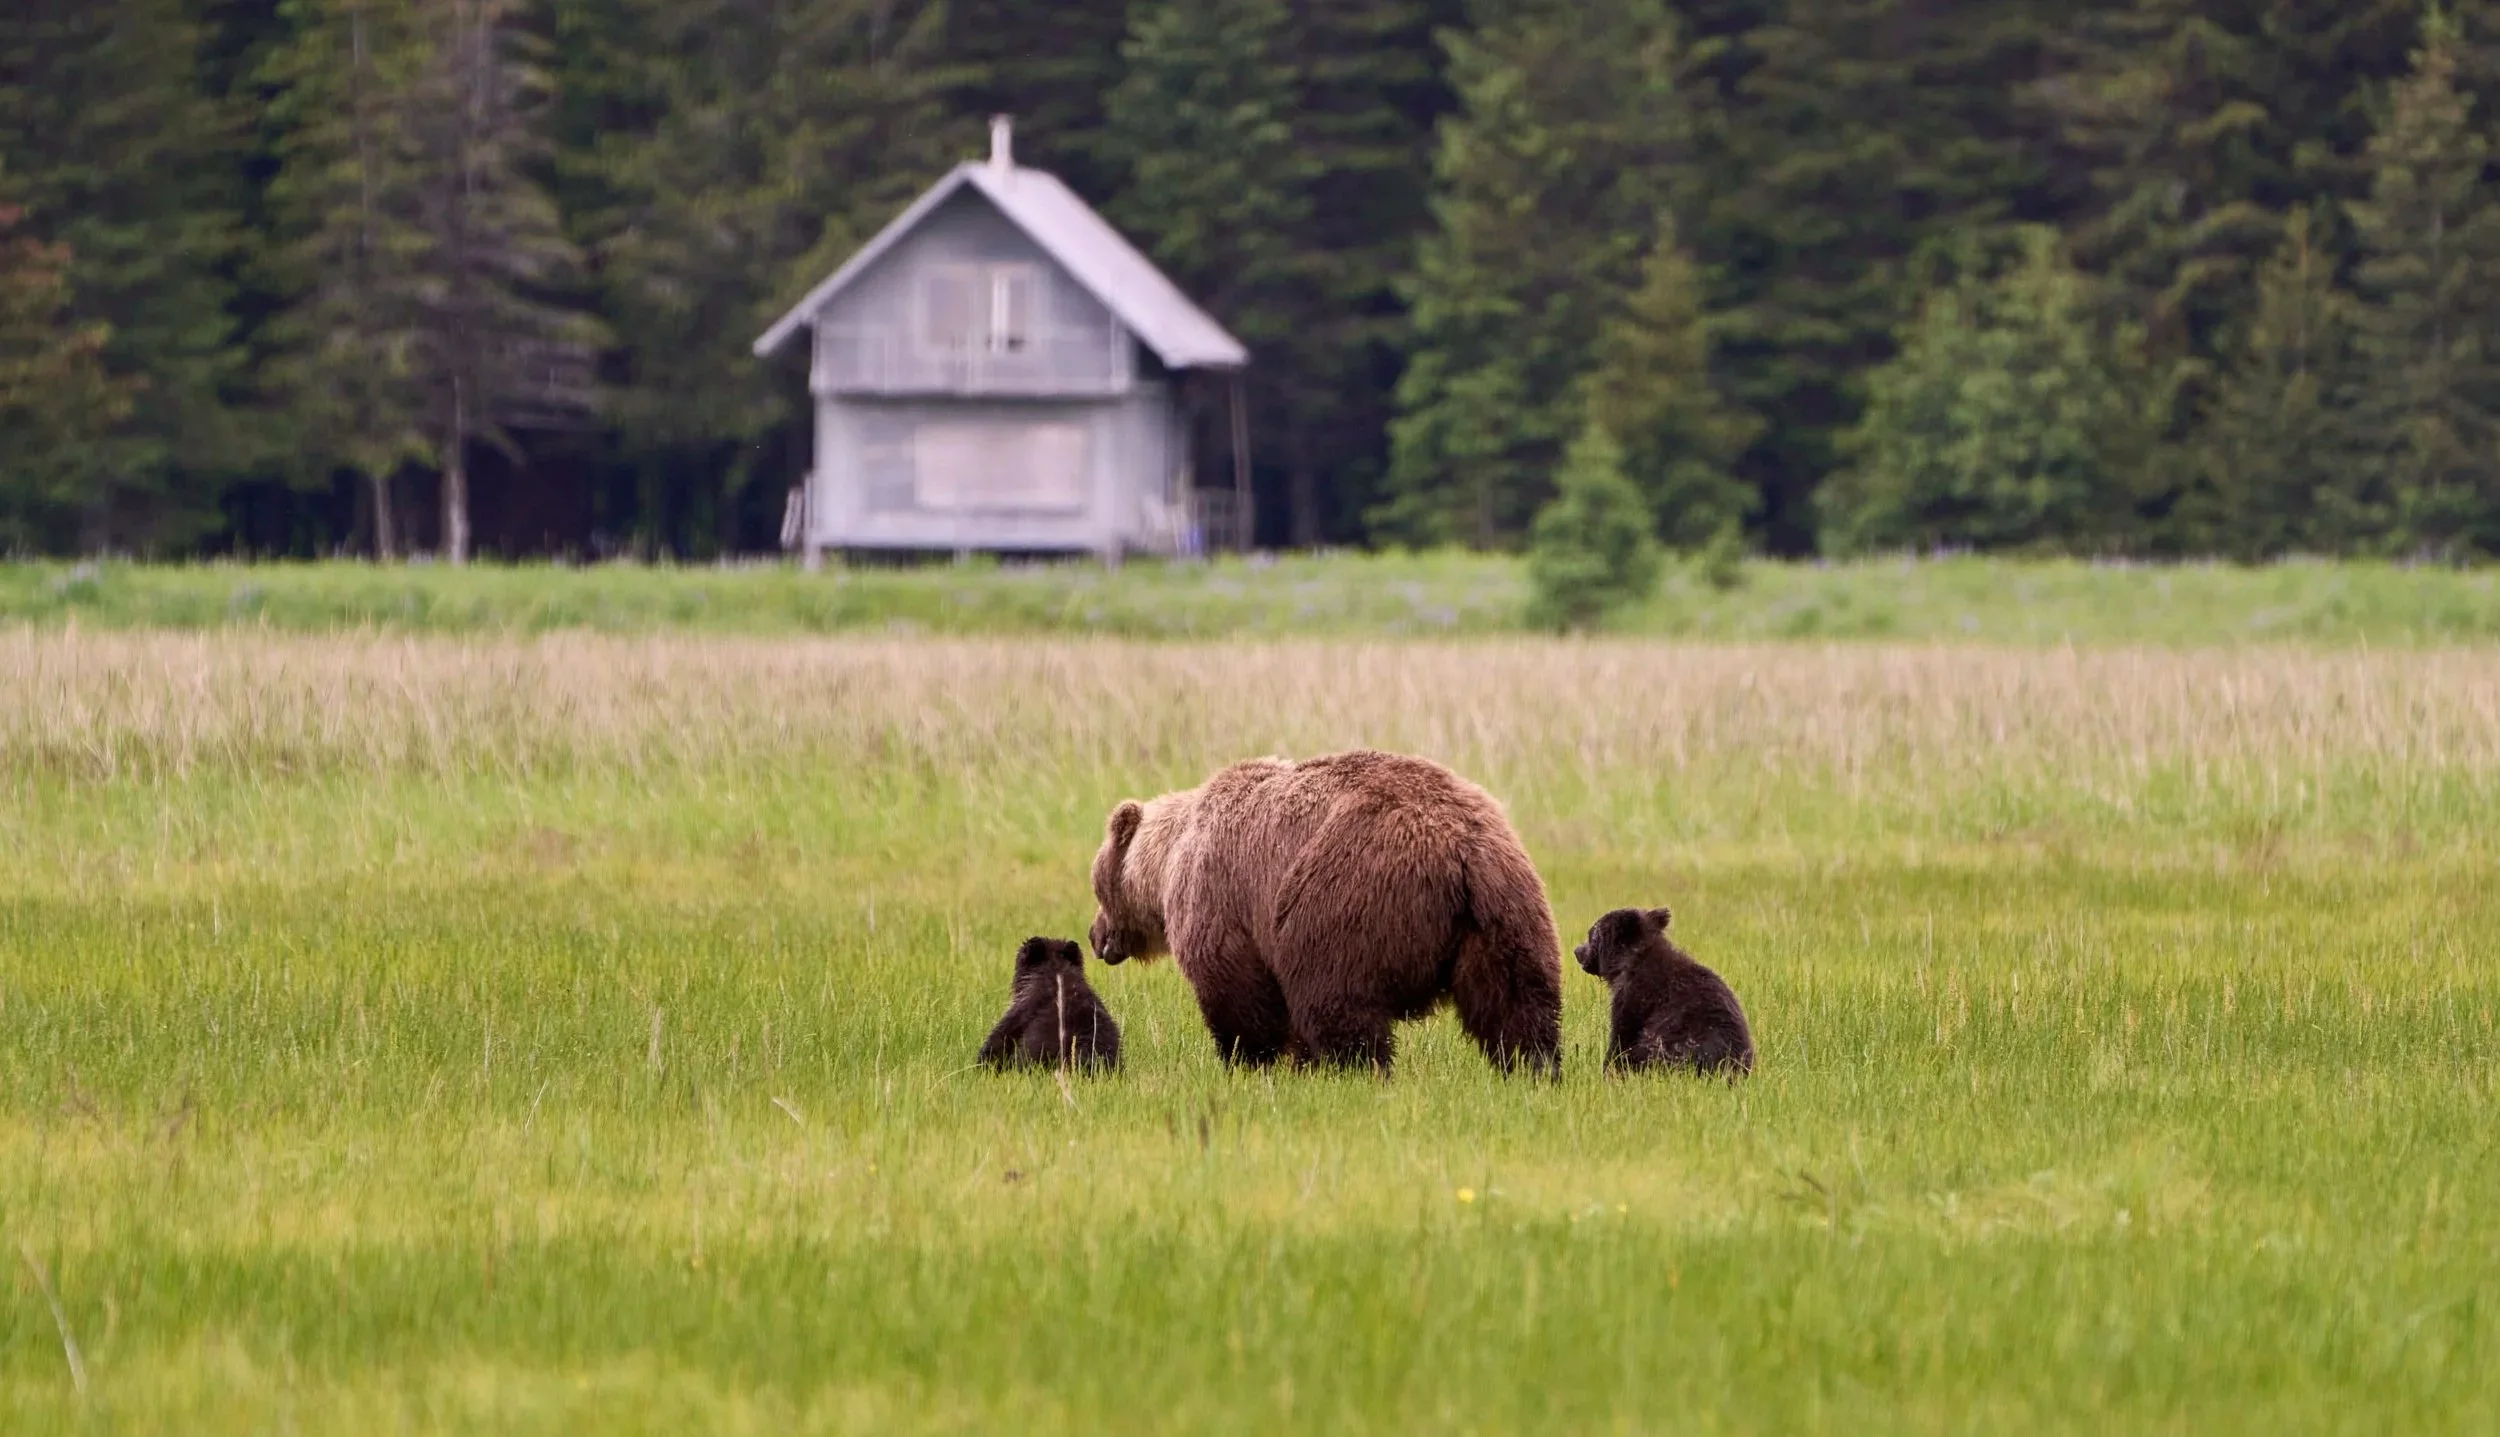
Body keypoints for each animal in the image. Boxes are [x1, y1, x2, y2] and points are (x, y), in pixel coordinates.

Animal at [1086, 748, 1563, 1075]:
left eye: (1096, 883)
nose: (1094, 935)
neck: (1166, 861)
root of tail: (1458, 847)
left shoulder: (1218, 896)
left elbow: (1236, 992)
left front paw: (1249, 1060)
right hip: (1504, 907)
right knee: (1517, 1000)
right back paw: (1534, 1068)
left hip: (1344, 894)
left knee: (1334, 996)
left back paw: (1356, 1069)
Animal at [1574, 906, 1754, 1077]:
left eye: (1592, 934)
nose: (1577, 951)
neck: (1627, 963)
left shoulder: (1634, 997)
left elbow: (1622, 1037)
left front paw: (1609, 1070)